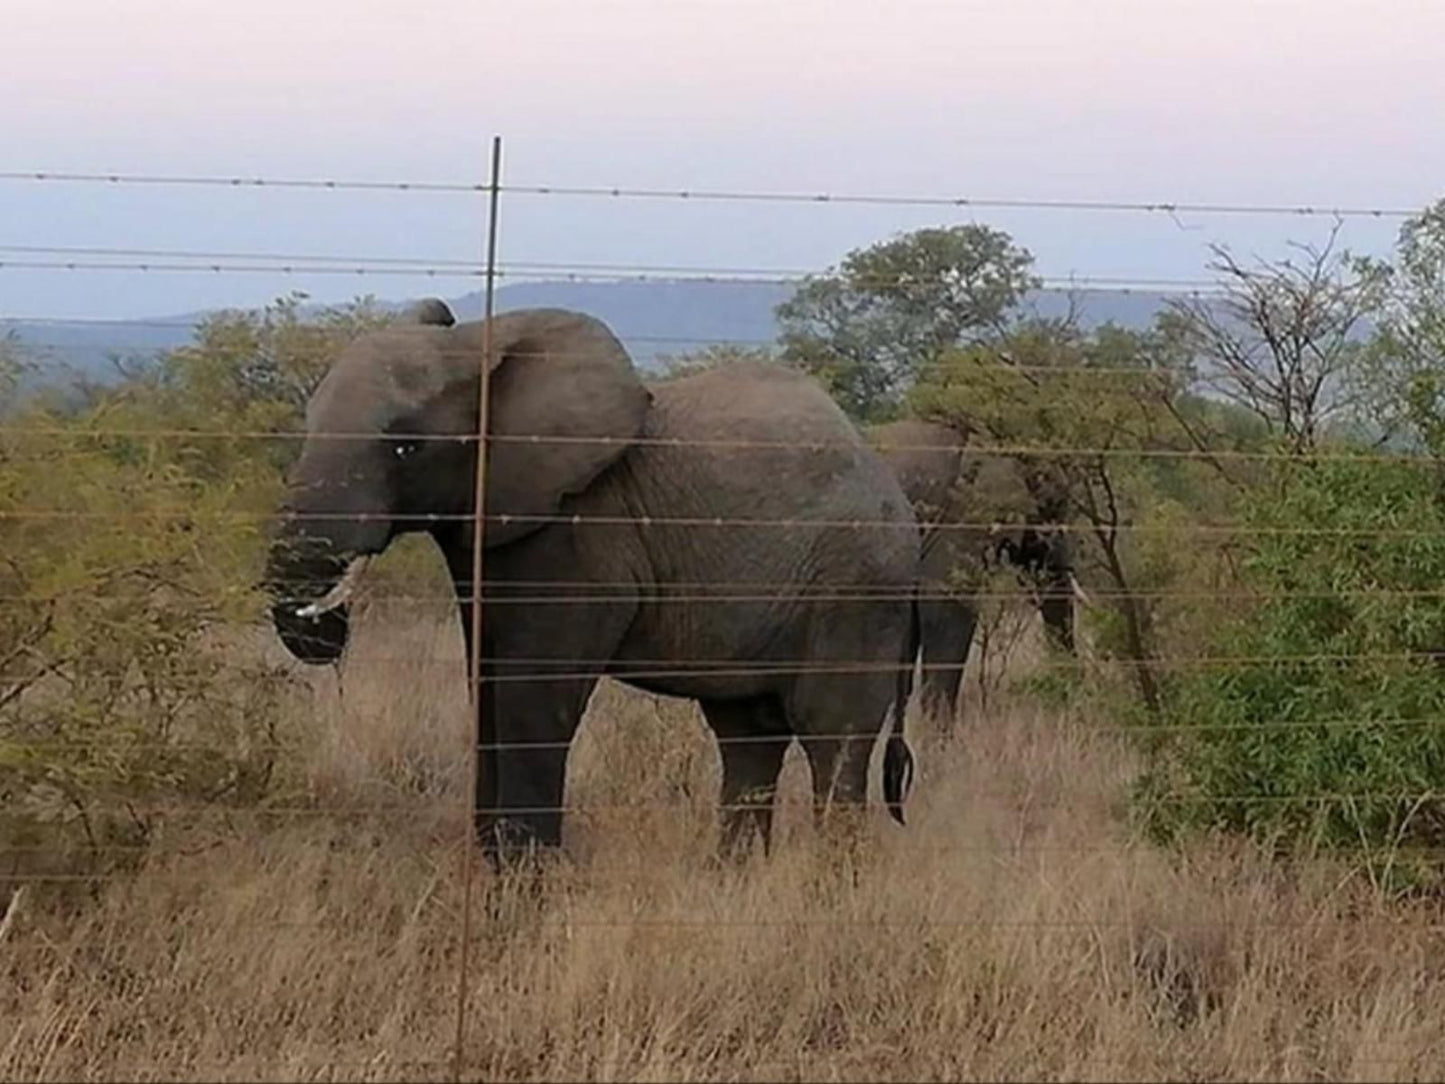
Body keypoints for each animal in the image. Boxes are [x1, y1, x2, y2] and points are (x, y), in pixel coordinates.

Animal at [267, 303, 919, 867]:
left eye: (406, 447)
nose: (327, 632)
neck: (480, 344)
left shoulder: (581, 534)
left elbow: (534, 701)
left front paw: (525, 882)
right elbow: (487, 687)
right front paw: (494, 872)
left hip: (856, 591)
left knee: (832, 734)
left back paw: (827, 887)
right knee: (747, 735)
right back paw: (733, 885)